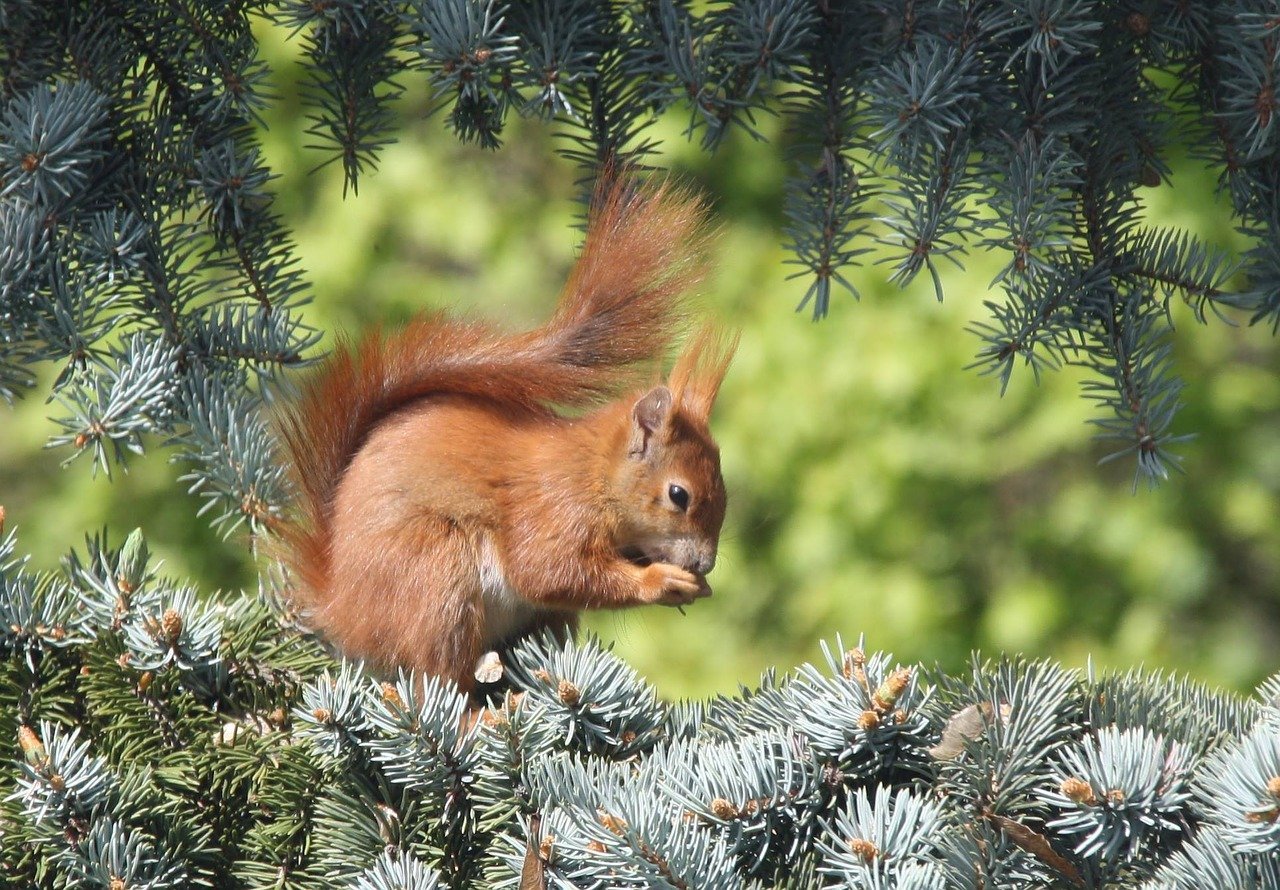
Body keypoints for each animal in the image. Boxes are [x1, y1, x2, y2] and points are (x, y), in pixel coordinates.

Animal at [277, 179, 742, 696]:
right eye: (679, 495)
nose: (705, 564)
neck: (594, 474)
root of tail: (341, 609)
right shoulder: (552, 511)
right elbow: (547, 571)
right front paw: (662, 582)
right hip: (435, 579)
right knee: (434, 678)